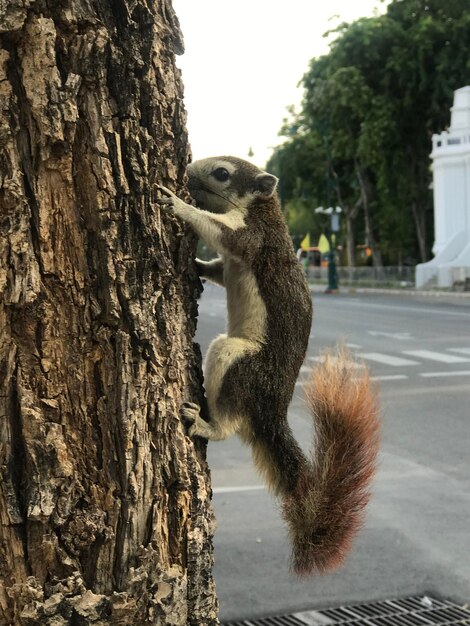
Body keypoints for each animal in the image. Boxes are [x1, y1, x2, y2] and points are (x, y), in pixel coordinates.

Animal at [156, 157, 380, 576]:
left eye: (223, 173)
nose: (188, 172)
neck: (264, 209)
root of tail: (271, 410)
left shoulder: (255, 238)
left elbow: (222, 233)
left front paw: (177, 205)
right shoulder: (230, 260)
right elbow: (216, 267)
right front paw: (195, 264)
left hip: (238, 361)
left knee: (229, 425)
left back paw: (206, 423)